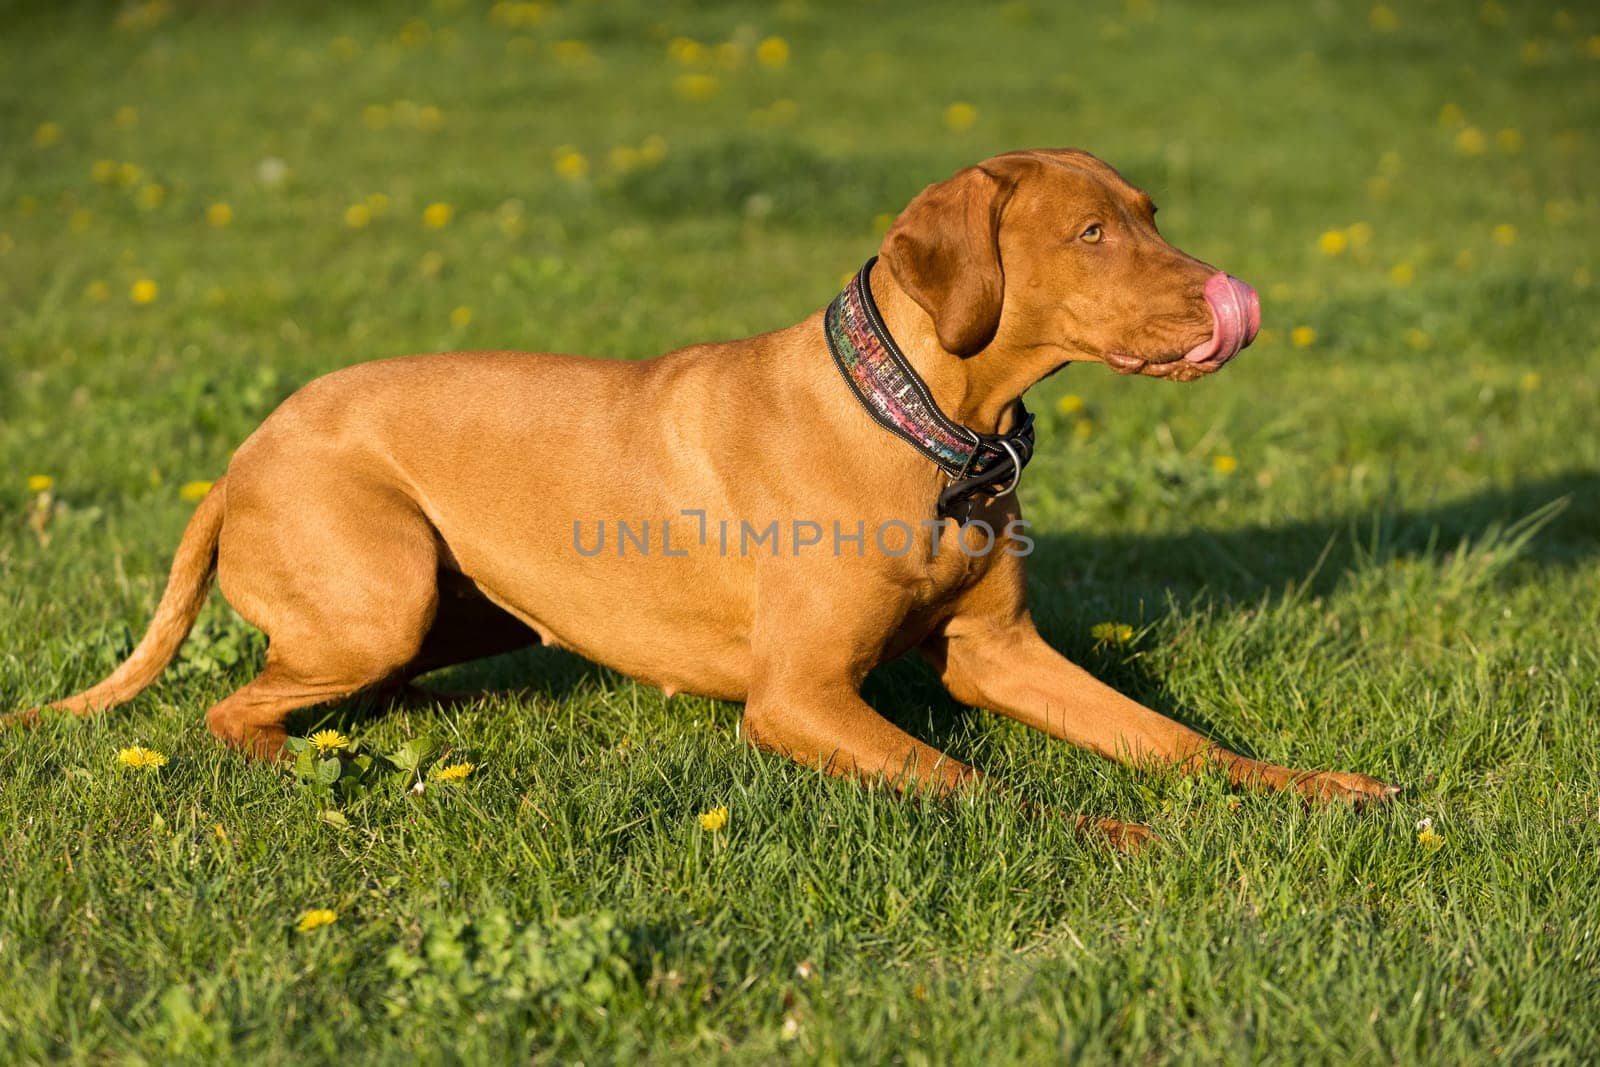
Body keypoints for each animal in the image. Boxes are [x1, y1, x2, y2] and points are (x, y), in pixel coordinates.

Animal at [12, 150, 1395, 838]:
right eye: (1091, 236)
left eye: (1149, 214)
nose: (1227, 294)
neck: (932, 428)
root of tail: (244, 453)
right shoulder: (799, 700)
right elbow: (979, 786)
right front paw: (1119, 837)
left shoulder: (1001, 653)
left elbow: (1176, 739)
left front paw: (1314, 790)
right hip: (382, 586)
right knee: (237, 708)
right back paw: (313, 754)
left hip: (460, 607)